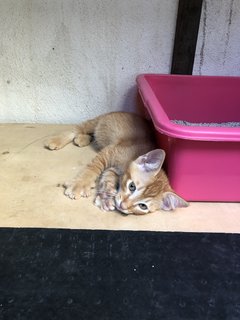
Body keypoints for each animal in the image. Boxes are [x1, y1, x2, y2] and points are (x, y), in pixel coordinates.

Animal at [45, 111, 188, 214]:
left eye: (143, 206)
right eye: (132, 187)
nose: (124, 206)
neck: (132, 157)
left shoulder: (113, 169)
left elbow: (108, 176)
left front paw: (106, 197)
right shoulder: (109, 152)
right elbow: (93, 168)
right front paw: (79, 184)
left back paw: (82, 139)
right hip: (97, 122)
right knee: (77, 128)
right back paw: (57, 140)